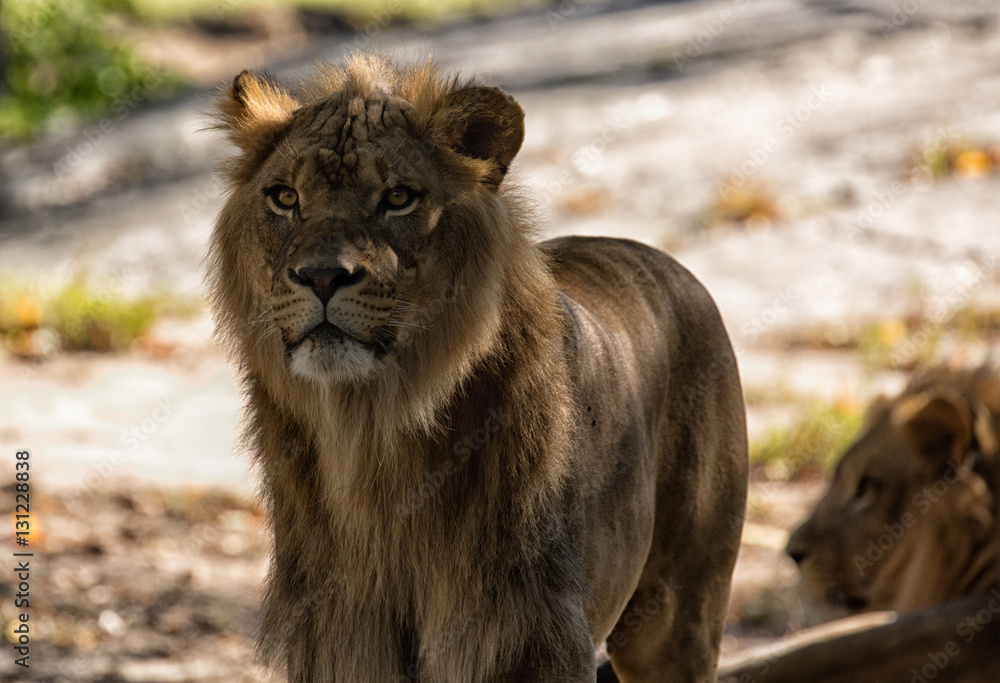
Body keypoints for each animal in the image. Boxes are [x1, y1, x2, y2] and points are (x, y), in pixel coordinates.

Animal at [207, 54, 748, 682]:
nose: (320, 275)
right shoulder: (338, 639)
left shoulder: (526, 633)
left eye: (398, 197)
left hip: (680, 614)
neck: (371, 431)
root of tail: (656, 256)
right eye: (285, 197)